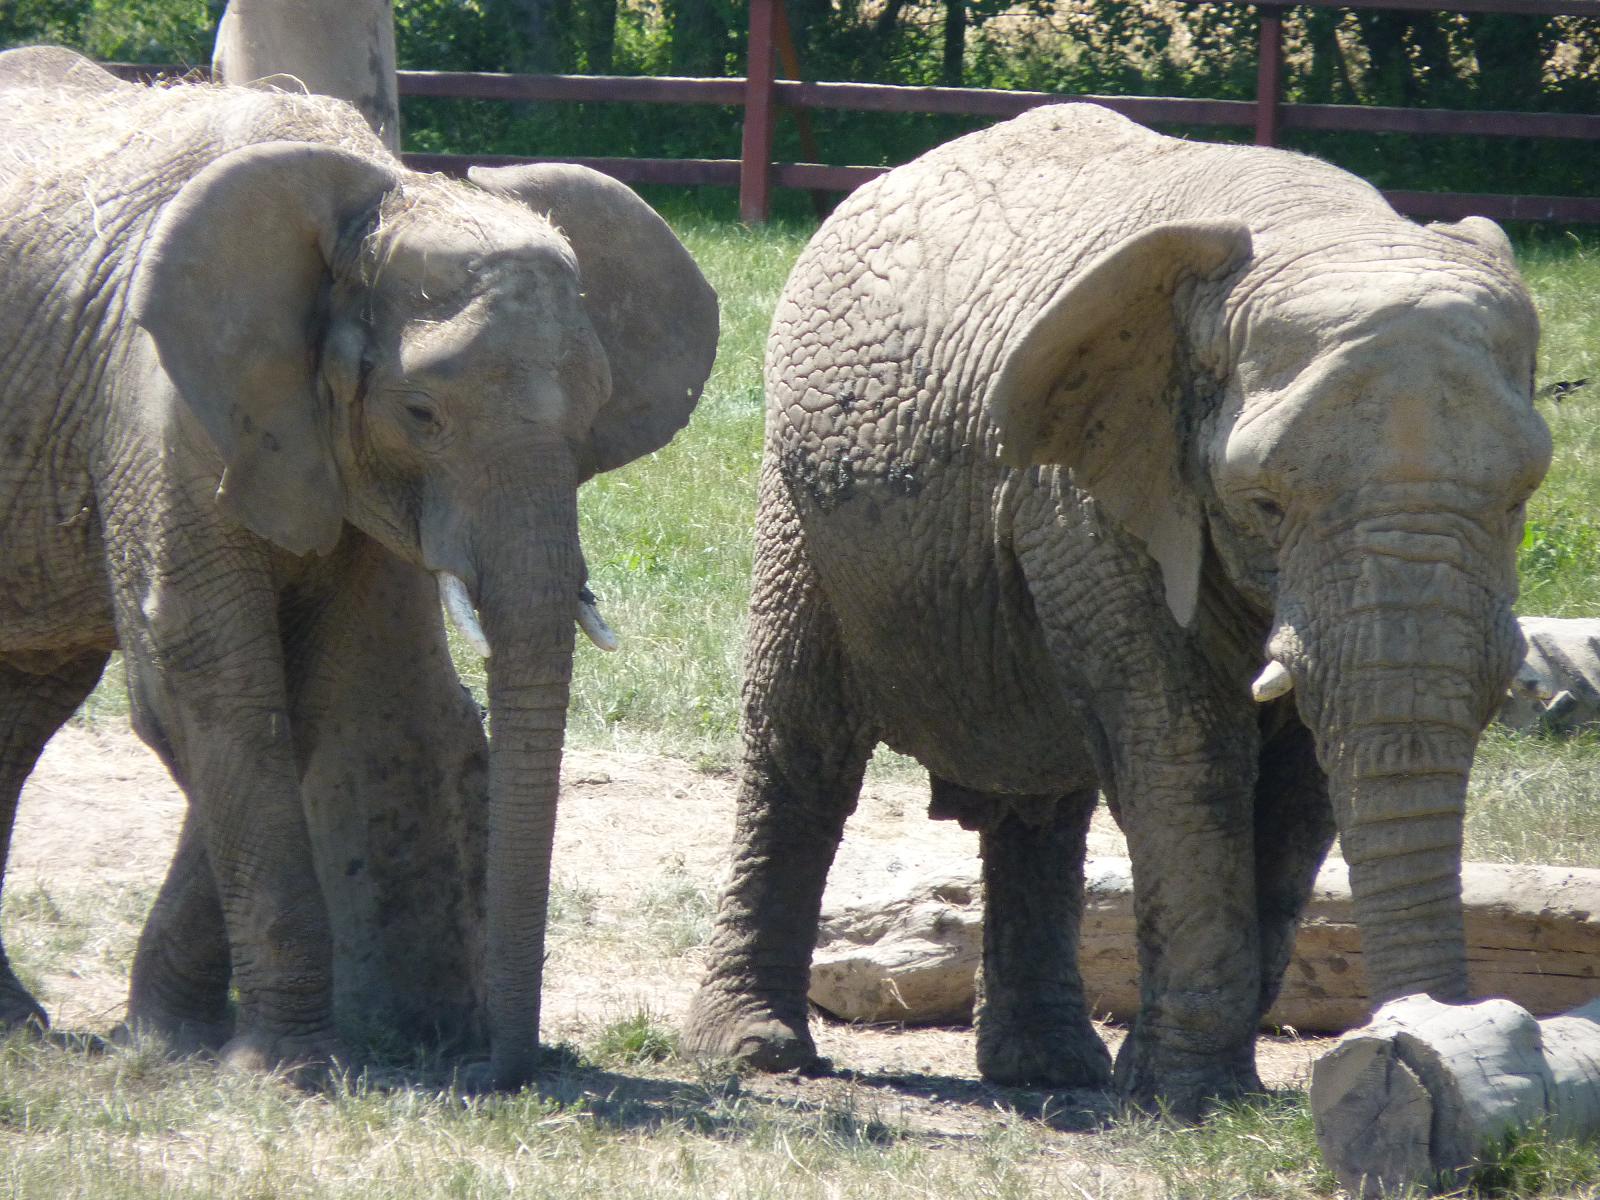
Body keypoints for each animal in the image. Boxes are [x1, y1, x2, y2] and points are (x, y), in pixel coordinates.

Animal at [0, 47, 718, 1088]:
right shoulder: (153, 399)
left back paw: (14, 1020)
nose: (495, 1073)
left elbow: (300, 696)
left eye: (593, 413)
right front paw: (284, 1073)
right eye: (420, 414)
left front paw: (173, 1040)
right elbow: (206, 680)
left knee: (24, 701)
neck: (368, 209)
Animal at [682, 103, 1548, 1114]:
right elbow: (1185, 749)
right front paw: (1189, 1100)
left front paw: (1195, 1090)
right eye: (1263, 503)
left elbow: (1300, 783)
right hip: (801, 501)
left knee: (1041, 802)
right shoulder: (1091, 486)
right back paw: (758, 1052)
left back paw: (1049, 1069)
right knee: (802, 747)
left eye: (1520, 499)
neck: (1323, 227)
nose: (1427, 1054)